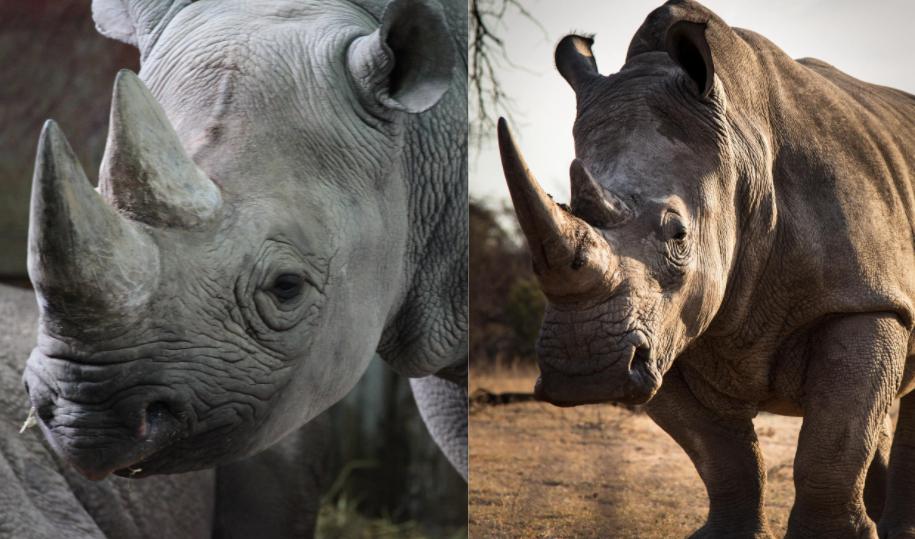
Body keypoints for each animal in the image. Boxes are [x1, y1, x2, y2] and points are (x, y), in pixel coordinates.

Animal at [499, 0, 915, 536]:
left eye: (678, 233)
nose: (584, 370)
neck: (742, 149)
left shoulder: (863, 299)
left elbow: (833, 442)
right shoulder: (661, 332)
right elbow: (722, 454)